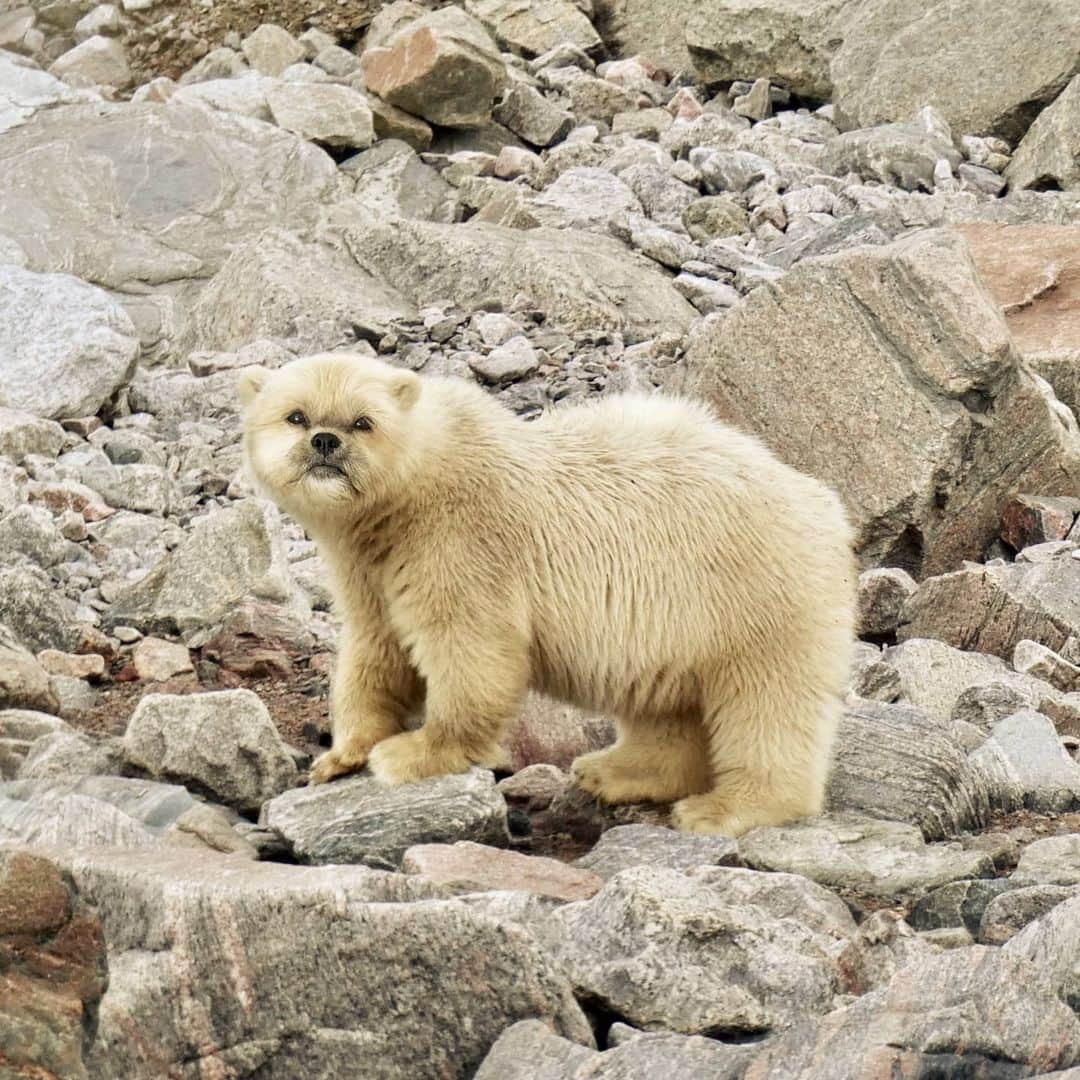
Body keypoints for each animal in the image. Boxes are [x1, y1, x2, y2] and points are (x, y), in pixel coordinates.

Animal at [240, 354, 855, 833]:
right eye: (296, 415)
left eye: (363, 421)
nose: (325, 442)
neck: (411, 495)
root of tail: (826, 506)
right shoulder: (369, 567)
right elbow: (377, 647)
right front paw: (340, 756)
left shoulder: (460, 538)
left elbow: (471, 647)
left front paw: (413, 752)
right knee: (666, 704)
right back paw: (614, 770)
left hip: (752, 590)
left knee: (766, 702)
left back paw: (723, 807)